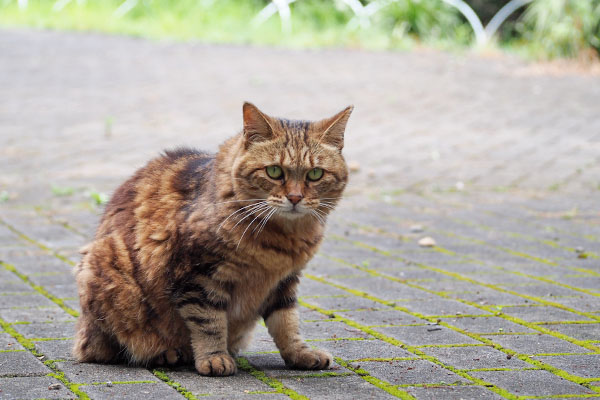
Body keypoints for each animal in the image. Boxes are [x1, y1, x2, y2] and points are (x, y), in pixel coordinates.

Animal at [71, 101, 352, 376]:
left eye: (315, 174)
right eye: (274, 171)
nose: (295, 198)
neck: (281, 241)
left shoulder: (284, 282)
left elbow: (287, 324)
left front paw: (300, 354)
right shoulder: (199, 275)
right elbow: (209, 323)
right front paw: (215, 358)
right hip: (110, 275)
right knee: (113, 348)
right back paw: (166, 354)